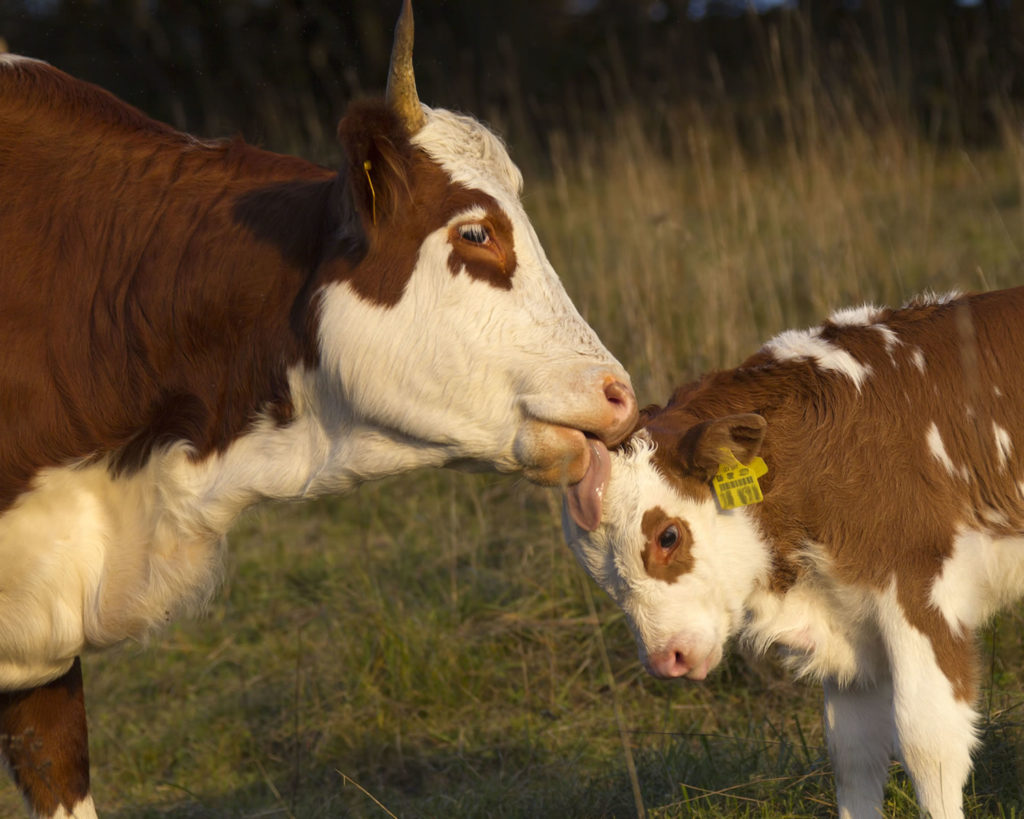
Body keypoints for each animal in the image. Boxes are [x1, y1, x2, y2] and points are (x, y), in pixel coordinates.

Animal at [565, 286, 1024, 818]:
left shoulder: (922, 593)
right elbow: (854, 753)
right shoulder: (849, 622)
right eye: (593, 566)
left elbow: (928, 744)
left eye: (668, 536)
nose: (667, 658)